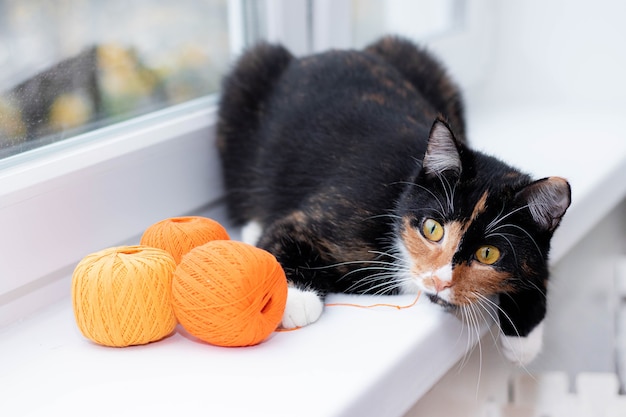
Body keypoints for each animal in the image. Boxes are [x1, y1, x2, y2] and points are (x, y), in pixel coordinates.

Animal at [216, 37, 572, 366]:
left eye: (488, 253)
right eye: (432, 228)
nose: (439, 280)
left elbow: (537, 267)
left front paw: (524, 338)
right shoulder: (331, 211)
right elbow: (286, 229)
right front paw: (296, 297)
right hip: (247, 83)